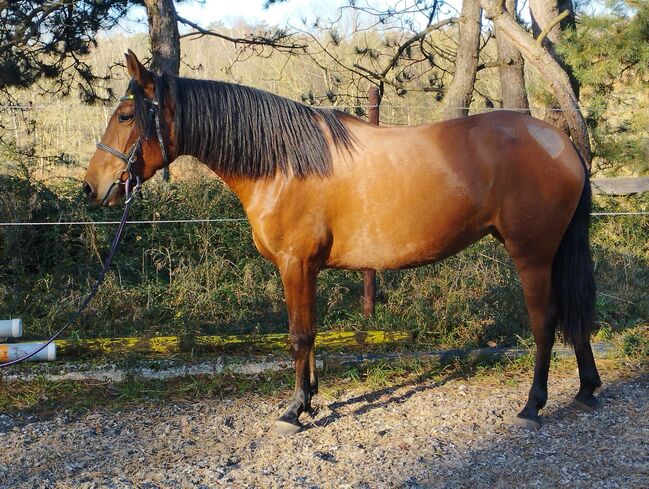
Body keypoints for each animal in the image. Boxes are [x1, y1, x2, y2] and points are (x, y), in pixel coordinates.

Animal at [83, 51, 600, 432]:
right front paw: (310, 400)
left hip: (532, 255)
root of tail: (561, 142)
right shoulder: (305, 269)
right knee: (573, 315)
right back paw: (586, 389)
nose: (91, 188)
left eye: (126, 115)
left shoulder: (294, 264)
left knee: (546, 321)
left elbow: (298, 335)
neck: (283, 163)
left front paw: (294, 411)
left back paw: (534, 405)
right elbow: (310, 334)